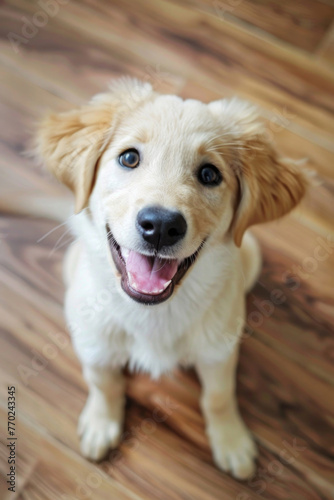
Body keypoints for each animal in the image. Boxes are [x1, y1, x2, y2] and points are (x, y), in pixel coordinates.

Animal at [35, 79, 310, 480]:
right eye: (129, 158)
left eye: (210, 174)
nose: (161, 226)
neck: (153, 312)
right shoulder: (92, 342)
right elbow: (103, 383)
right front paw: (101, 424)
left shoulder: (219, 351)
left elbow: (218, 397)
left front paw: (231, 441)